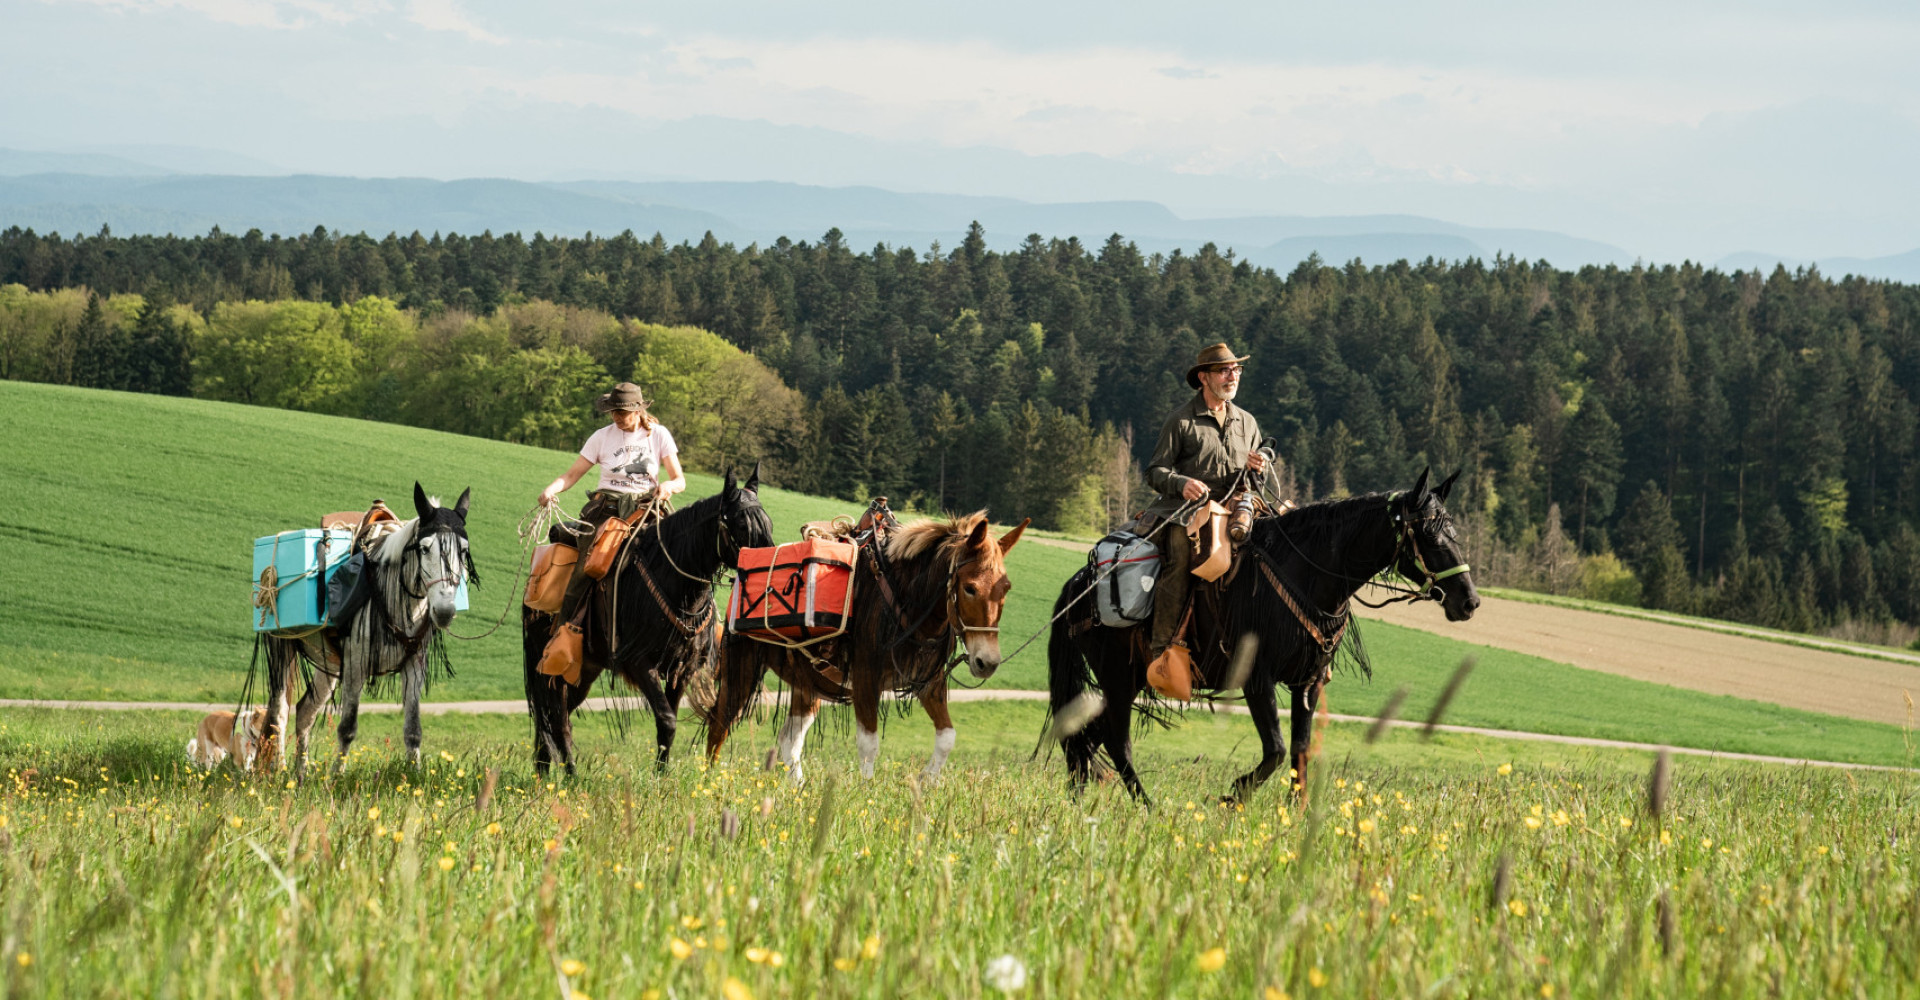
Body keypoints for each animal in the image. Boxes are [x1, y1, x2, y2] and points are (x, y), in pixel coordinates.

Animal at [263, 483, 476, 771]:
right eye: (424, 548)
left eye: (463, 551)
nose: (444, 612)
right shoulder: (356, 665)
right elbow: (347, 728)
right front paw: (337, 776)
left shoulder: (414, 665)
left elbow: (413, 730)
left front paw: (414, 775)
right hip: (282, 650)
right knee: (279, 713)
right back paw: (279, 771)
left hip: (329, 665)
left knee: (305, 710)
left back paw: (301, 774)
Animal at [522, 464, 775, 775]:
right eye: (742, 525)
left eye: (768, 525)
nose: (769, 572)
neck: (678, 586)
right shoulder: (639, 662)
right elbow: (666, 719)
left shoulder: (683, 669)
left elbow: (670, 721)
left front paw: (662, 777)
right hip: (552, 665)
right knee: (556, 718)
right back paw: (570, 774)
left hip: (586, 669)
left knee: (555, 718)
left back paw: (545, 773)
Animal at [706, 510, 1029, 783]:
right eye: (970, 588)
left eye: (1006, 588)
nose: (987, 662)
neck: (906, 604)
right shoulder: (865, 680)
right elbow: (869, 744)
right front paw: (865, 792)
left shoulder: (930, 683)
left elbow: (947, 737)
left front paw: (925, 781)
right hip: (742, 670)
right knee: (719, 724)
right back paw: (709, 780)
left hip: (807, 684)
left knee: (790, 740)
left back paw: (798, 787)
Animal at [1044, 468, 1474, 802]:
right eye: (1430, 535)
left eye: (1455, 532)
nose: (1468, 601)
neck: (1305, 573)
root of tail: (1080, 583)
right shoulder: (1256, 679)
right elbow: (1277, 751)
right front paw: (1232, 796)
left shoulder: (1308, 682)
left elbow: (1300, 752)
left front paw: (1294, 816)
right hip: (1117, 678)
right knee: (1117, 744)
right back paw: (1149, 809)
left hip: (1127, 681)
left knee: (1087, 739)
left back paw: (1079, 798)